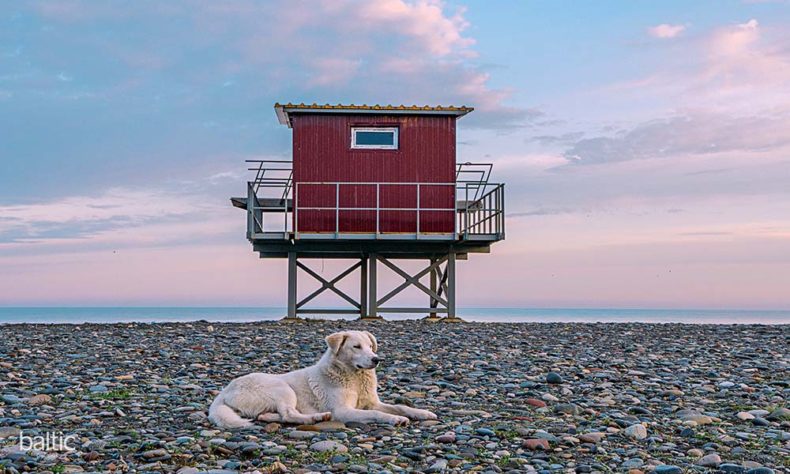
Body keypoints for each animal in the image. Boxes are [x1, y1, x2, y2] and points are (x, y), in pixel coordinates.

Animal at [207, 330, 436, 430]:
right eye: (356, 347)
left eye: (371, 346)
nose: (376, 359)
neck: (354, 378)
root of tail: (223, 392)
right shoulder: (344, 411)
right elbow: (375, 414)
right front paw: (394, 419)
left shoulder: (372, 402)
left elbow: (400, 406)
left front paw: (422, 413)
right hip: (281, 387)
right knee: (289, 413)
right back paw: (315, 418)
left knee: (271, 416)